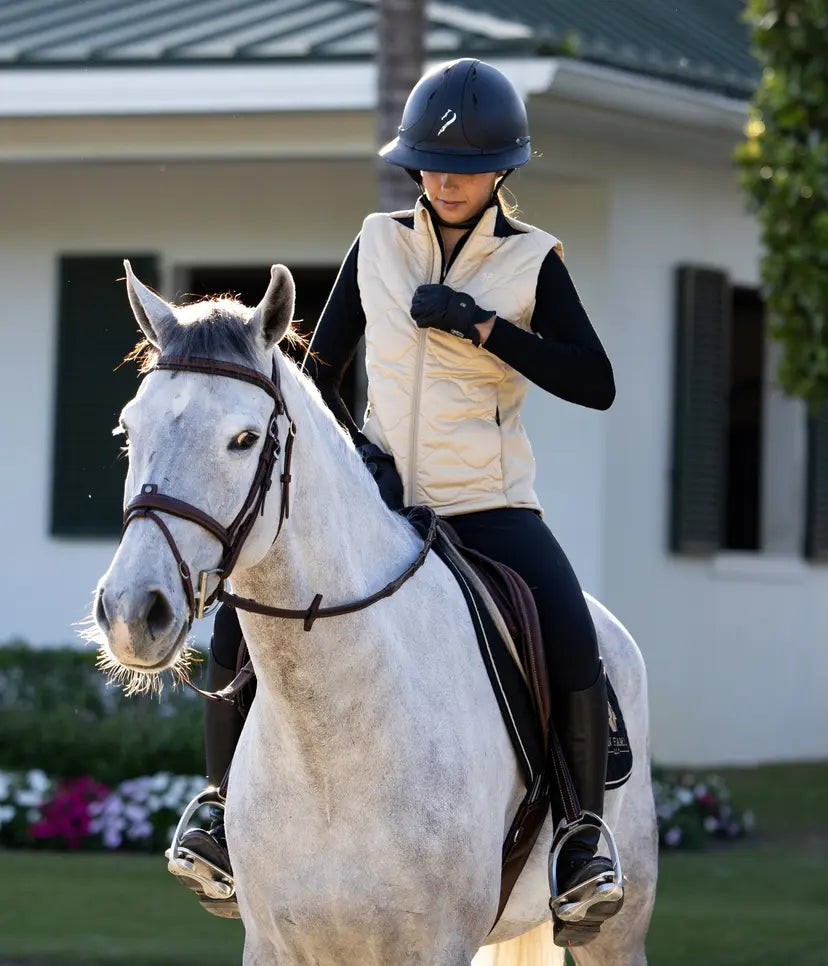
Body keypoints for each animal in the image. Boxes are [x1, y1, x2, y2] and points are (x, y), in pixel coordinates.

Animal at [92, 261, 658, 966]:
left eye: (244, 439)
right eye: (128, 430)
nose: (132, 611)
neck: (331, 740)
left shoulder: (437, 945)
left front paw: (452, 309)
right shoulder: (274, 945)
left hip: (618, 928)